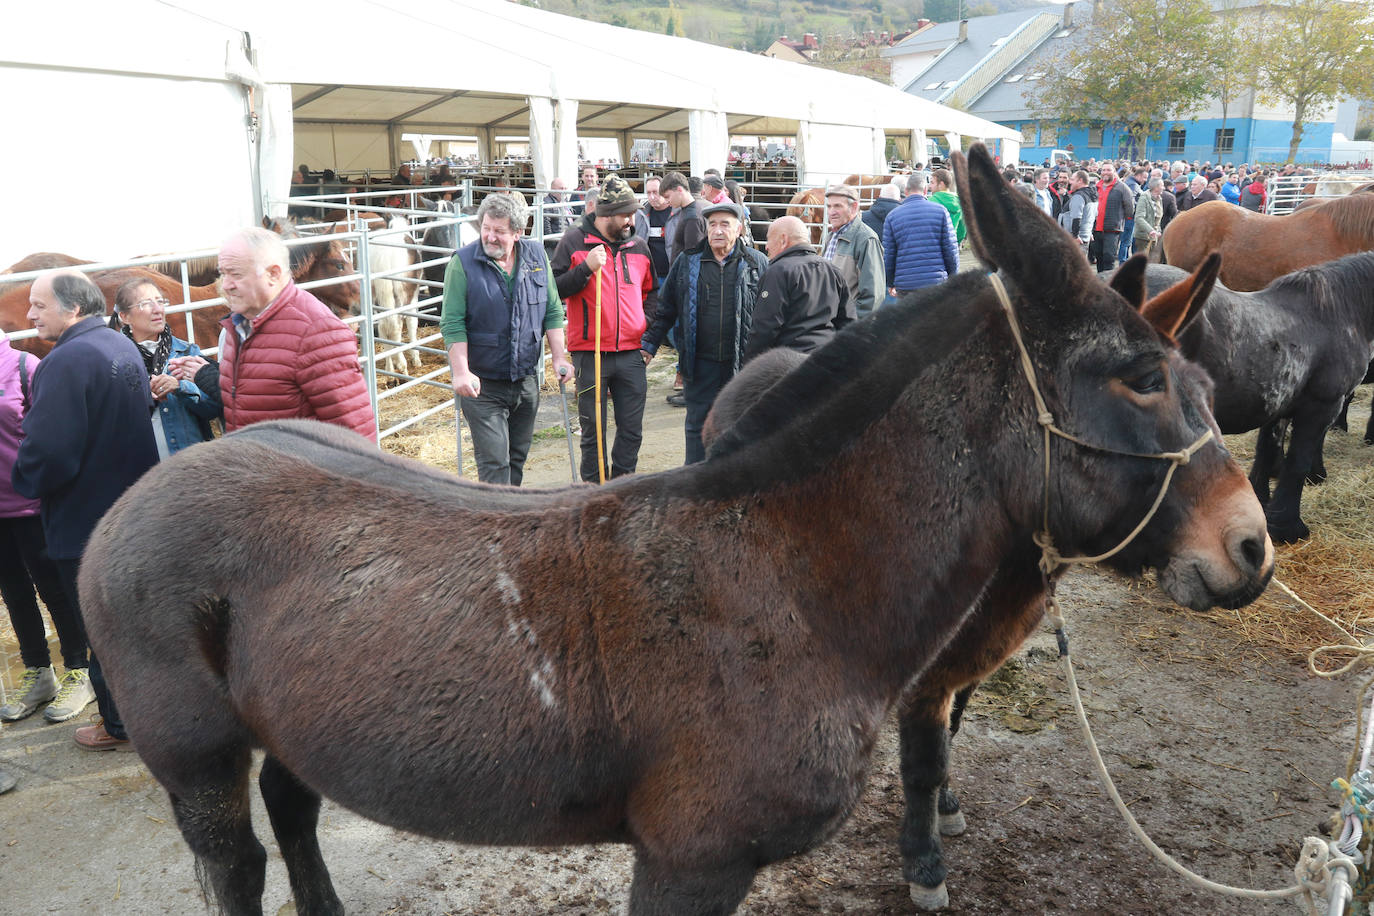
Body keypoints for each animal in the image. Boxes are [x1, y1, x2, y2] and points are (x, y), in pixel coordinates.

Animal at [77, 144, 1275, 916]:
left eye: (1196, 379)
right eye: (1139, 378)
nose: (1250, 547)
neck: (791, 577)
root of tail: (129, 506)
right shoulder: (691, 854)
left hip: (287, 720)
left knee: (295, 811)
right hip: (196, 756)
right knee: (235, 862)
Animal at [1143, 251, 1374, 543]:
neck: (1338, 314)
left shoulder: (1277, 402)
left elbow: (1267, 450)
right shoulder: (1323, 406)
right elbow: (1298, 462)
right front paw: (1288, 527)